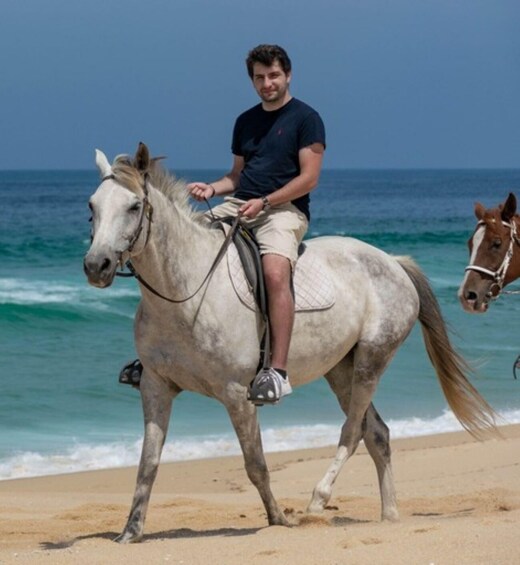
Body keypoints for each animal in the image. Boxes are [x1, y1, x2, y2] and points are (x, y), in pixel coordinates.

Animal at [82, 142, 496, 540]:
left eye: (134, 206)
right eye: (92, 207)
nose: (96, 266)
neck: (185, 292)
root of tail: (393, 261)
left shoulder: (237, 394)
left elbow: (256, 464)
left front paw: (278, 519)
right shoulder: (155, 386)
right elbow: (148, 464)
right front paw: (130, 531)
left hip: (370, 361)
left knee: (352, 431)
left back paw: (318, 501)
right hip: (340, 369)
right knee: (376, 433)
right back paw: (389, 516)